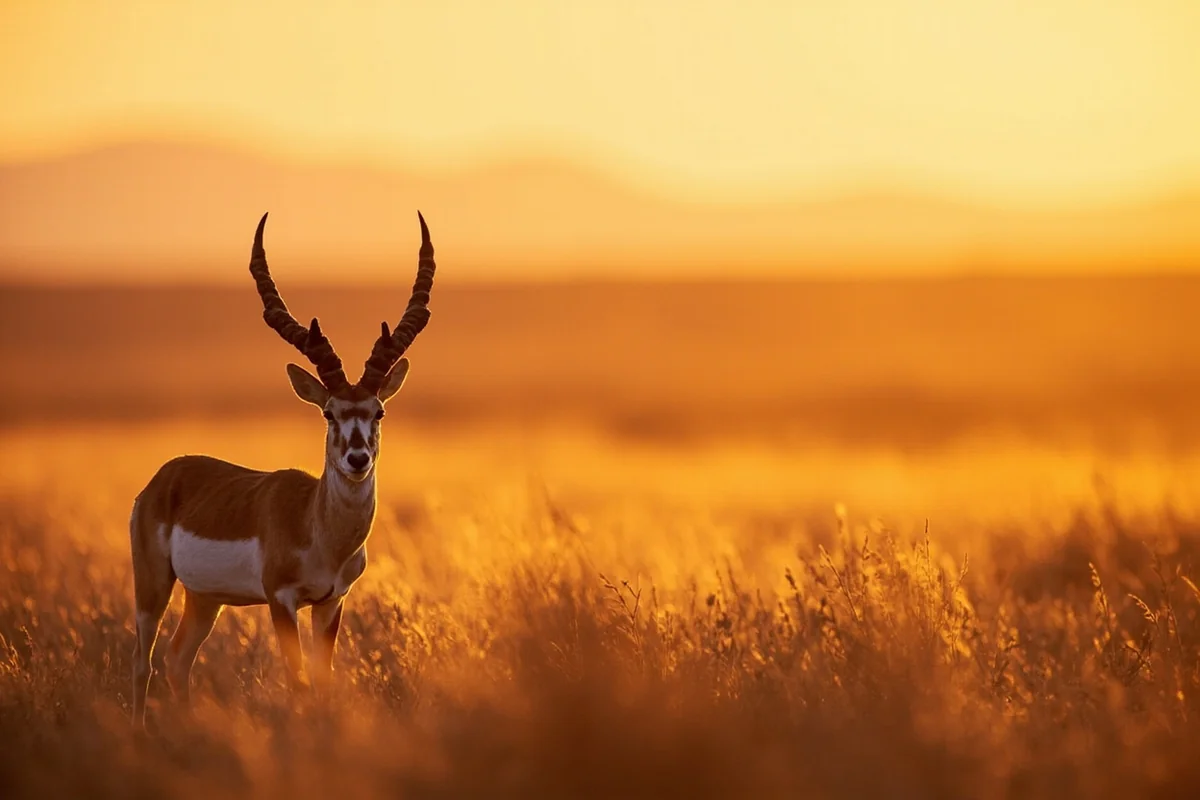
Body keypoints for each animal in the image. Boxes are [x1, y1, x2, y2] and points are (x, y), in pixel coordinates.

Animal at [129, 212, 436, 727]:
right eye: (329, 412)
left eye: (378, 412)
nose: (357, 459)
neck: (319, 530)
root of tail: (167, 475)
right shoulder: (280, 599)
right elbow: (298, 682)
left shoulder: (331, 601)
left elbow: (323, 682)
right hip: (153, 585)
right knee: (142, 661)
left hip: (205, 598)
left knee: (177, 659)